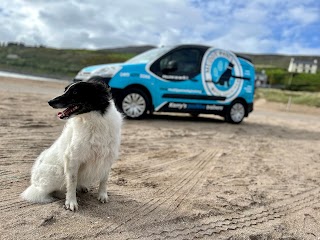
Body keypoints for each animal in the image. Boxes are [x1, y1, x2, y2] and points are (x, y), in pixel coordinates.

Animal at [20, 78, 122, 211]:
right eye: (65, 90)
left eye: (75, 93)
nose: (50, 102)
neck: (93, 120)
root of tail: (34, 182)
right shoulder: (72, 158)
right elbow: (72, 182)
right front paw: (71, 202)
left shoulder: (108, 158)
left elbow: (104, 179)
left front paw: (102, 195)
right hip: (57, 172)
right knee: (42, 192)